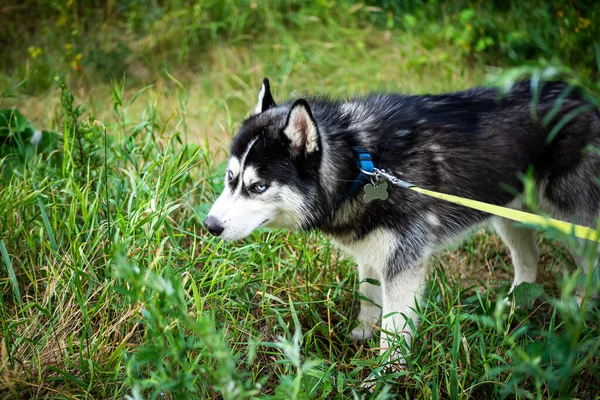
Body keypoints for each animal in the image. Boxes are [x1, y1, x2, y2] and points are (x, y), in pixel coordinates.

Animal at [203, 77, 600, 362]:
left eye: (258, 186)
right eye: (230, 177)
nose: (210, 226)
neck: (360, 165)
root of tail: (582, 95)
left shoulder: (403, 264)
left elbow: (393, 333)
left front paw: (382, 378)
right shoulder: (371, 252)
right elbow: (368, 299)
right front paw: (361, 335)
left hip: (570, 220)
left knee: (588, 261)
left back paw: (579, 309)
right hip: (508, 214)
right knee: (528, 259)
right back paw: (517, 306)